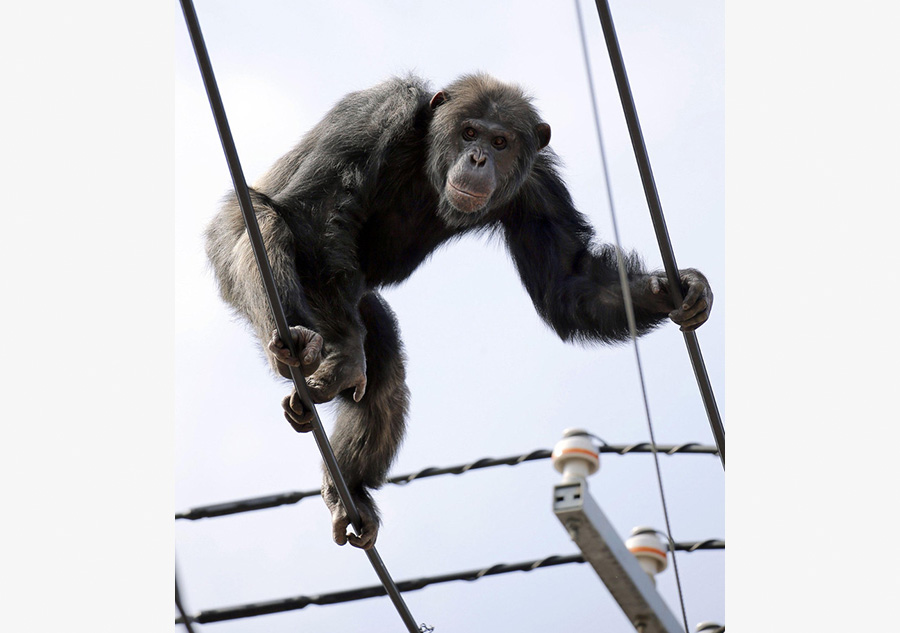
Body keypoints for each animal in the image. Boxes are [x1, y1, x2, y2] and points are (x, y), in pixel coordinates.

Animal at [207, 73, 712, 548]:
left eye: (500, 141)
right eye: (469, 132)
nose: (478, 158)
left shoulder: (538, 186)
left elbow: (569, 283)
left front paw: (673, 289)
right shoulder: (378, 112)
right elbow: (316, 214)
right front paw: (347, 356)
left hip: (354, 301)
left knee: (385, 368)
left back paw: (349, 492)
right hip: (261, 266)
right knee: (267, 224)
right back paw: (308, 346)